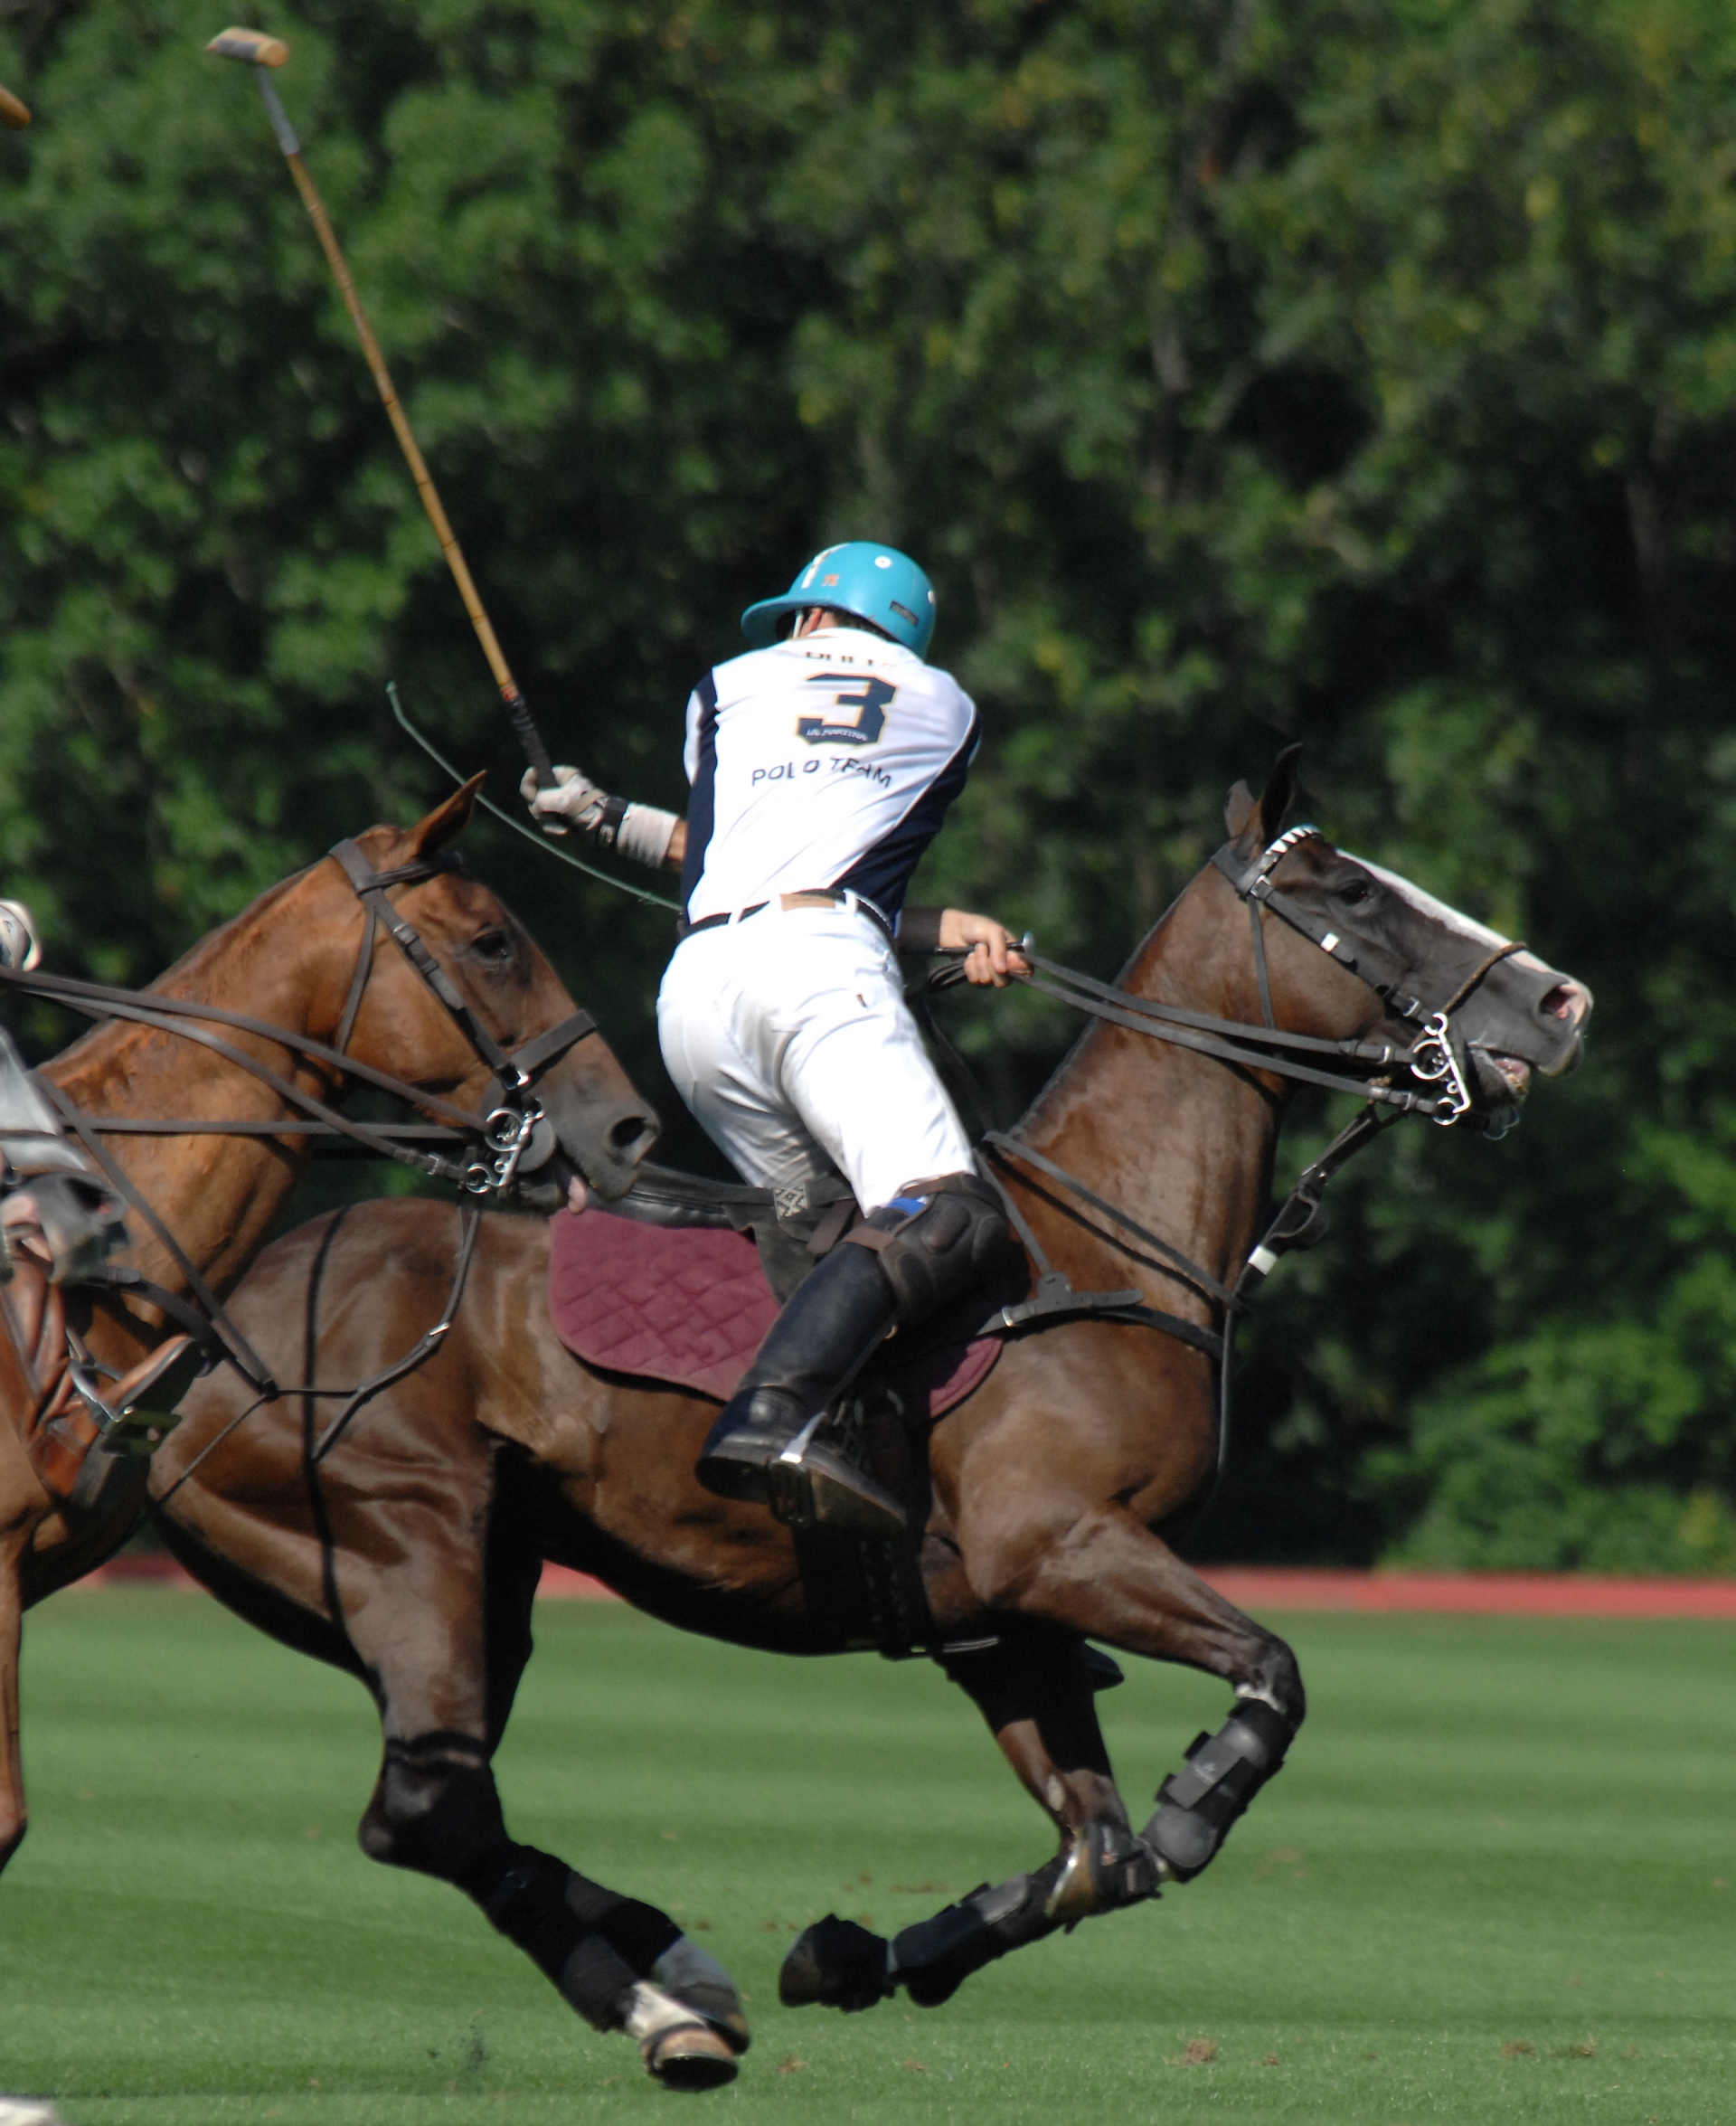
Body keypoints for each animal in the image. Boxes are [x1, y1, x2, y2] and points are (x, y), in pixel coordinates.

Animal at [156, 756, 1589, 2083]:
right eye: (1350, 891)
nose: (1562, 999)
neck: (1102, 1237)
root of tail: (201, 1329)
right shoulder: (1059, 1546)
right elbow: (1267, 1678)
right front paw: (1197, 1799)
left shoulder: (1006, 1624)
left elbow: (1095, 1855)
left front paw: (852, 1954)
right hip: (407, 1543)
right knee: (429, 1806)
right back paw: (669, 2003)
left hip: (481, 1574)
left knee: (431, 1807)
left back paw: (684, 1968)